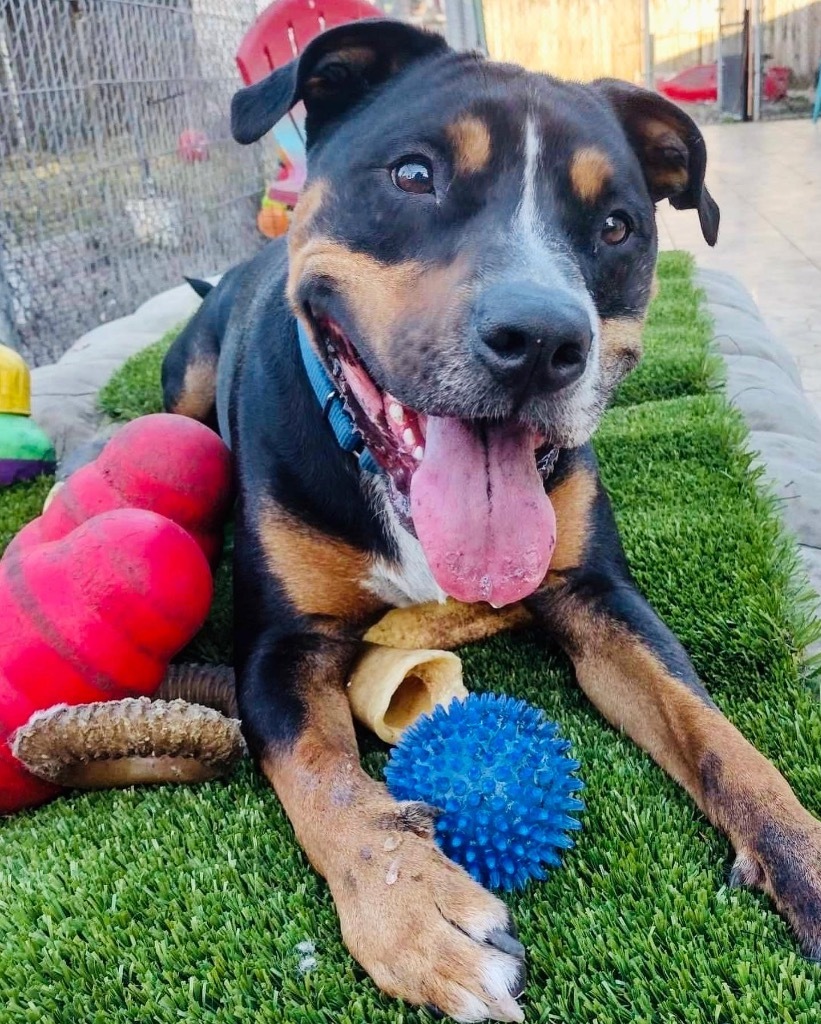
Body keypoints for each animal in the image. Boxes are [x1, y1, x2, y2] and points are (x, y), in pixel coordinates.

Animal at [161, 18, 818, 1024]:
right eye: (413, 175)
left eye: (615, 227)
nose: (541, 341)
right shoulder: (276, 649)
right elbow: (323, 777)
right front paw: (417, 912)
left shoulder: (598, 596)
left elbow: (719, 739)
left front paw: (804, 854)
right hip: (188, 384)